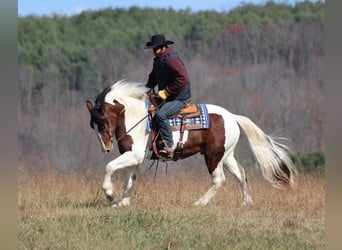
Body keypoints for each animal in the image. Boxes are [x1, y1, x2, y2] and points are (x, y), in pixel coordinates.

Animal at [85, 80, 296, 207]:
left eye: (103, 122)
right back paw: (246, 202)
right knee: (241, 174)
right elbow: (130, 180)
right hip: (226, 155)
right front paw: (122, 203)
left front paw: (109, 194)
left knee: (219, 179)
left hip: (213, 156)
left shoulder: (134, 155)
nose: (106, 148)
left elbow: (109, 166)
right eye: (93, 125)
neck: (135, 117)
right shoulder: (133, 158)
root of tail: (232, 117)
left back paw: (199, 203)